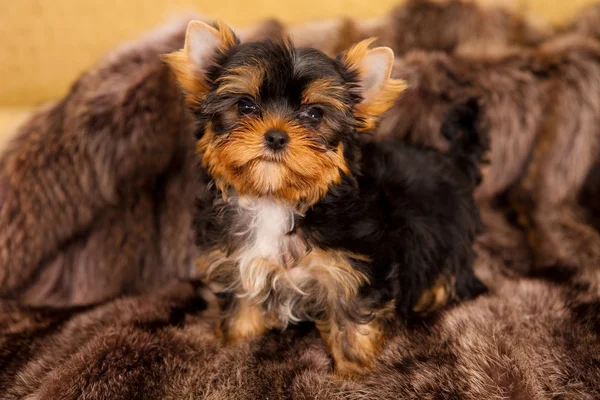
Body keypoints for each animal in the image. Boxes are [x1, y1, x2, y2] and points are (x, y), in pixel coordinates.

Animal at [164, 19, 488, 376]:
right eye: (245, 106)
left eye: (314, 115)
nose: (275, 136)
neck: (276, 200)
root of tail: (455, 160)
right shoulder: (241, 264)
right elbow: (242, 310)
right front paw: (234, 347)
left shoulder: (354, 270)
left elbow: (352, 326)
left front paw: (353, 374)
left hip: (448, 241)